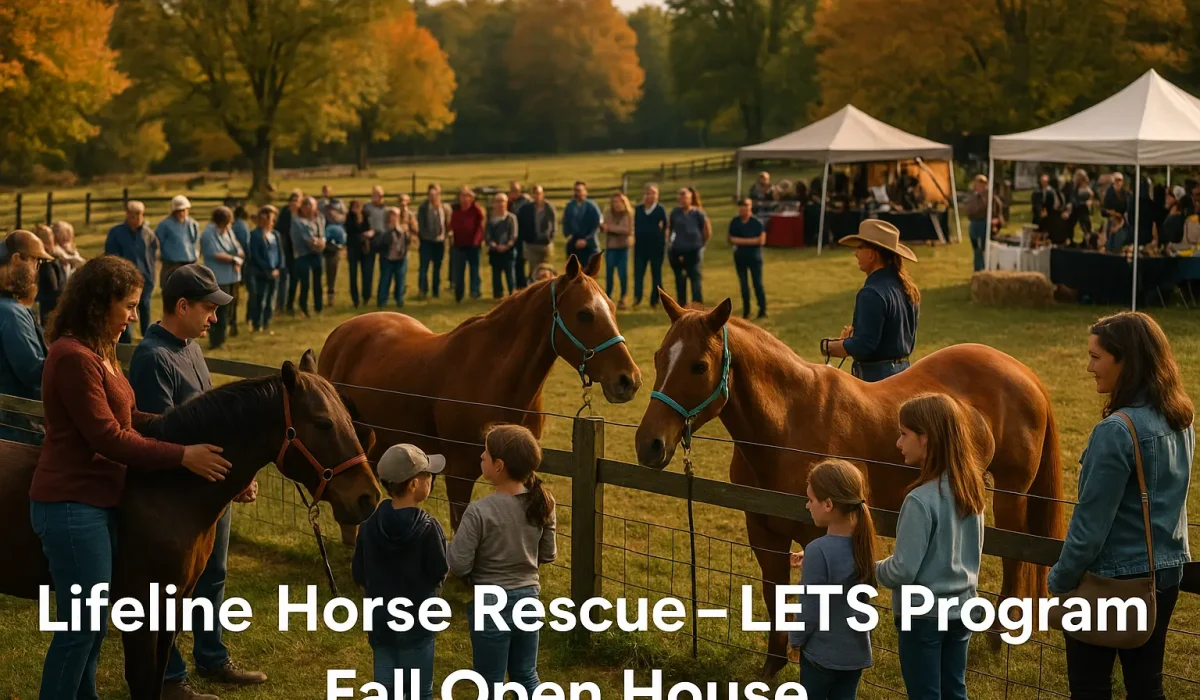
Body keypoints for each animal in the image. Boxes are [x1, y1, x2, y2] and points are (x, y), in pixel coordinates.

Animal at [0, 351, 381, 699]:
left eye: (348, 419)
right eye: (323, 423)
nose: (369, 497)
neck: (167, 488)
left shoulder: (176, 600)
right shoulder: (140, 608)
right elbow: (142, 679)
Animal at [319, 253, 642, 534]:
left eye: (612, 308)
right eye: (584, 314)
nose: (629, 380)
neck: (494, 377)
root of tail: (342, 330)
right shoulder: (459, 472)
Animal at [634, 293, 1064, 678]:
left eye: (698, 365)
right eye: (658, 358)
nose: (648, 444)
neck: (788, 426)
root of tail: (1023, 372)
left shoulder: (820, 536)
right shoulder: (765, 535)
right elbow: (774, 596)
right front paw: (773, 666)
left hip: (1011, 494)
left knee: (1016, 555)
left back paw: (997, 635)